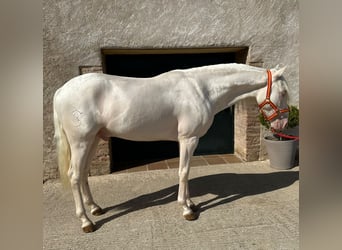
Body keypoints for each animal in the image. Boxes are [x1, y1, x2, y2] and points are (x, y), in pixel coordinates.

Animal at [53, 62, 288, 232]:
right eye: (284, 92)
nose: (283, 125)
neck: (202, 89)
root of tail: (62, 90)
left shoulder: (191, 140)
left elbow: (187, 171)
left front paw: (191, 203)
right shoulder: (188, 139)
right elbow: (183, 172)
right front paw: (186, 210)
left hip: (93, 140)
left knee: (83, 173)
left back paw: (95, 208)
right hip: (81, 141)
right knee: (74, 175)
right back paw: (86, 222)